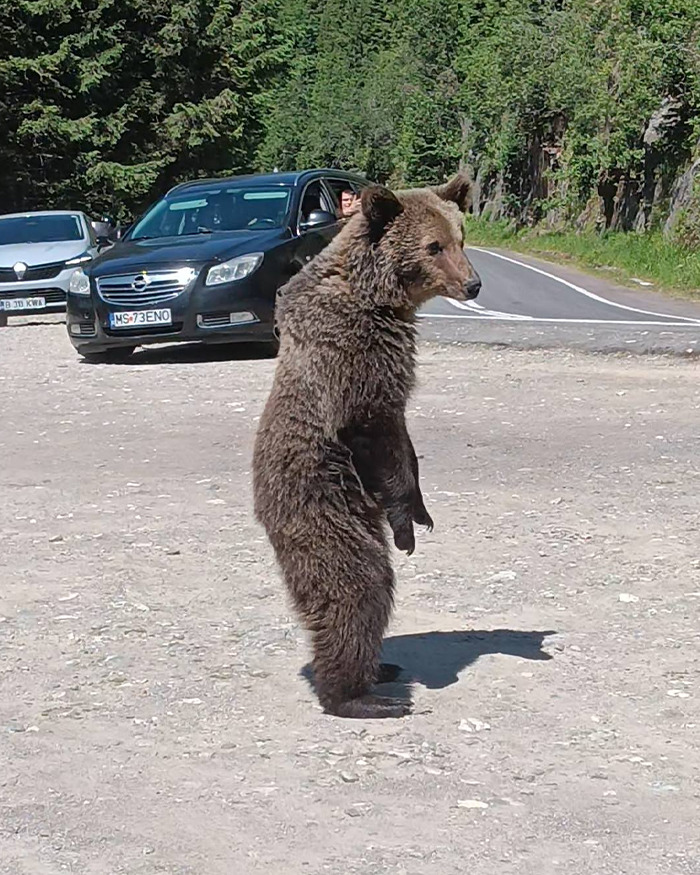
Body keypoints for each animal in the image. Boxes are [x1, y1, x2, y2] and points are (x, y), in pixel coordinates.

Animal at [252, 173, 481, 719]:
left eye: (461, 237)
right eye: (433, 246)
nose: (474, 284)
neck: (380, 299)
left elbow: (405, 442)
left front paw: (422, 508)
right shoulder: (355, 360)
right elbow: (375, 433)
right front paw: (407, 524)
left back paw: (382, 669)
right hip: (323, 503)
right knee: (356, 586)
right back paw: (360, 696)